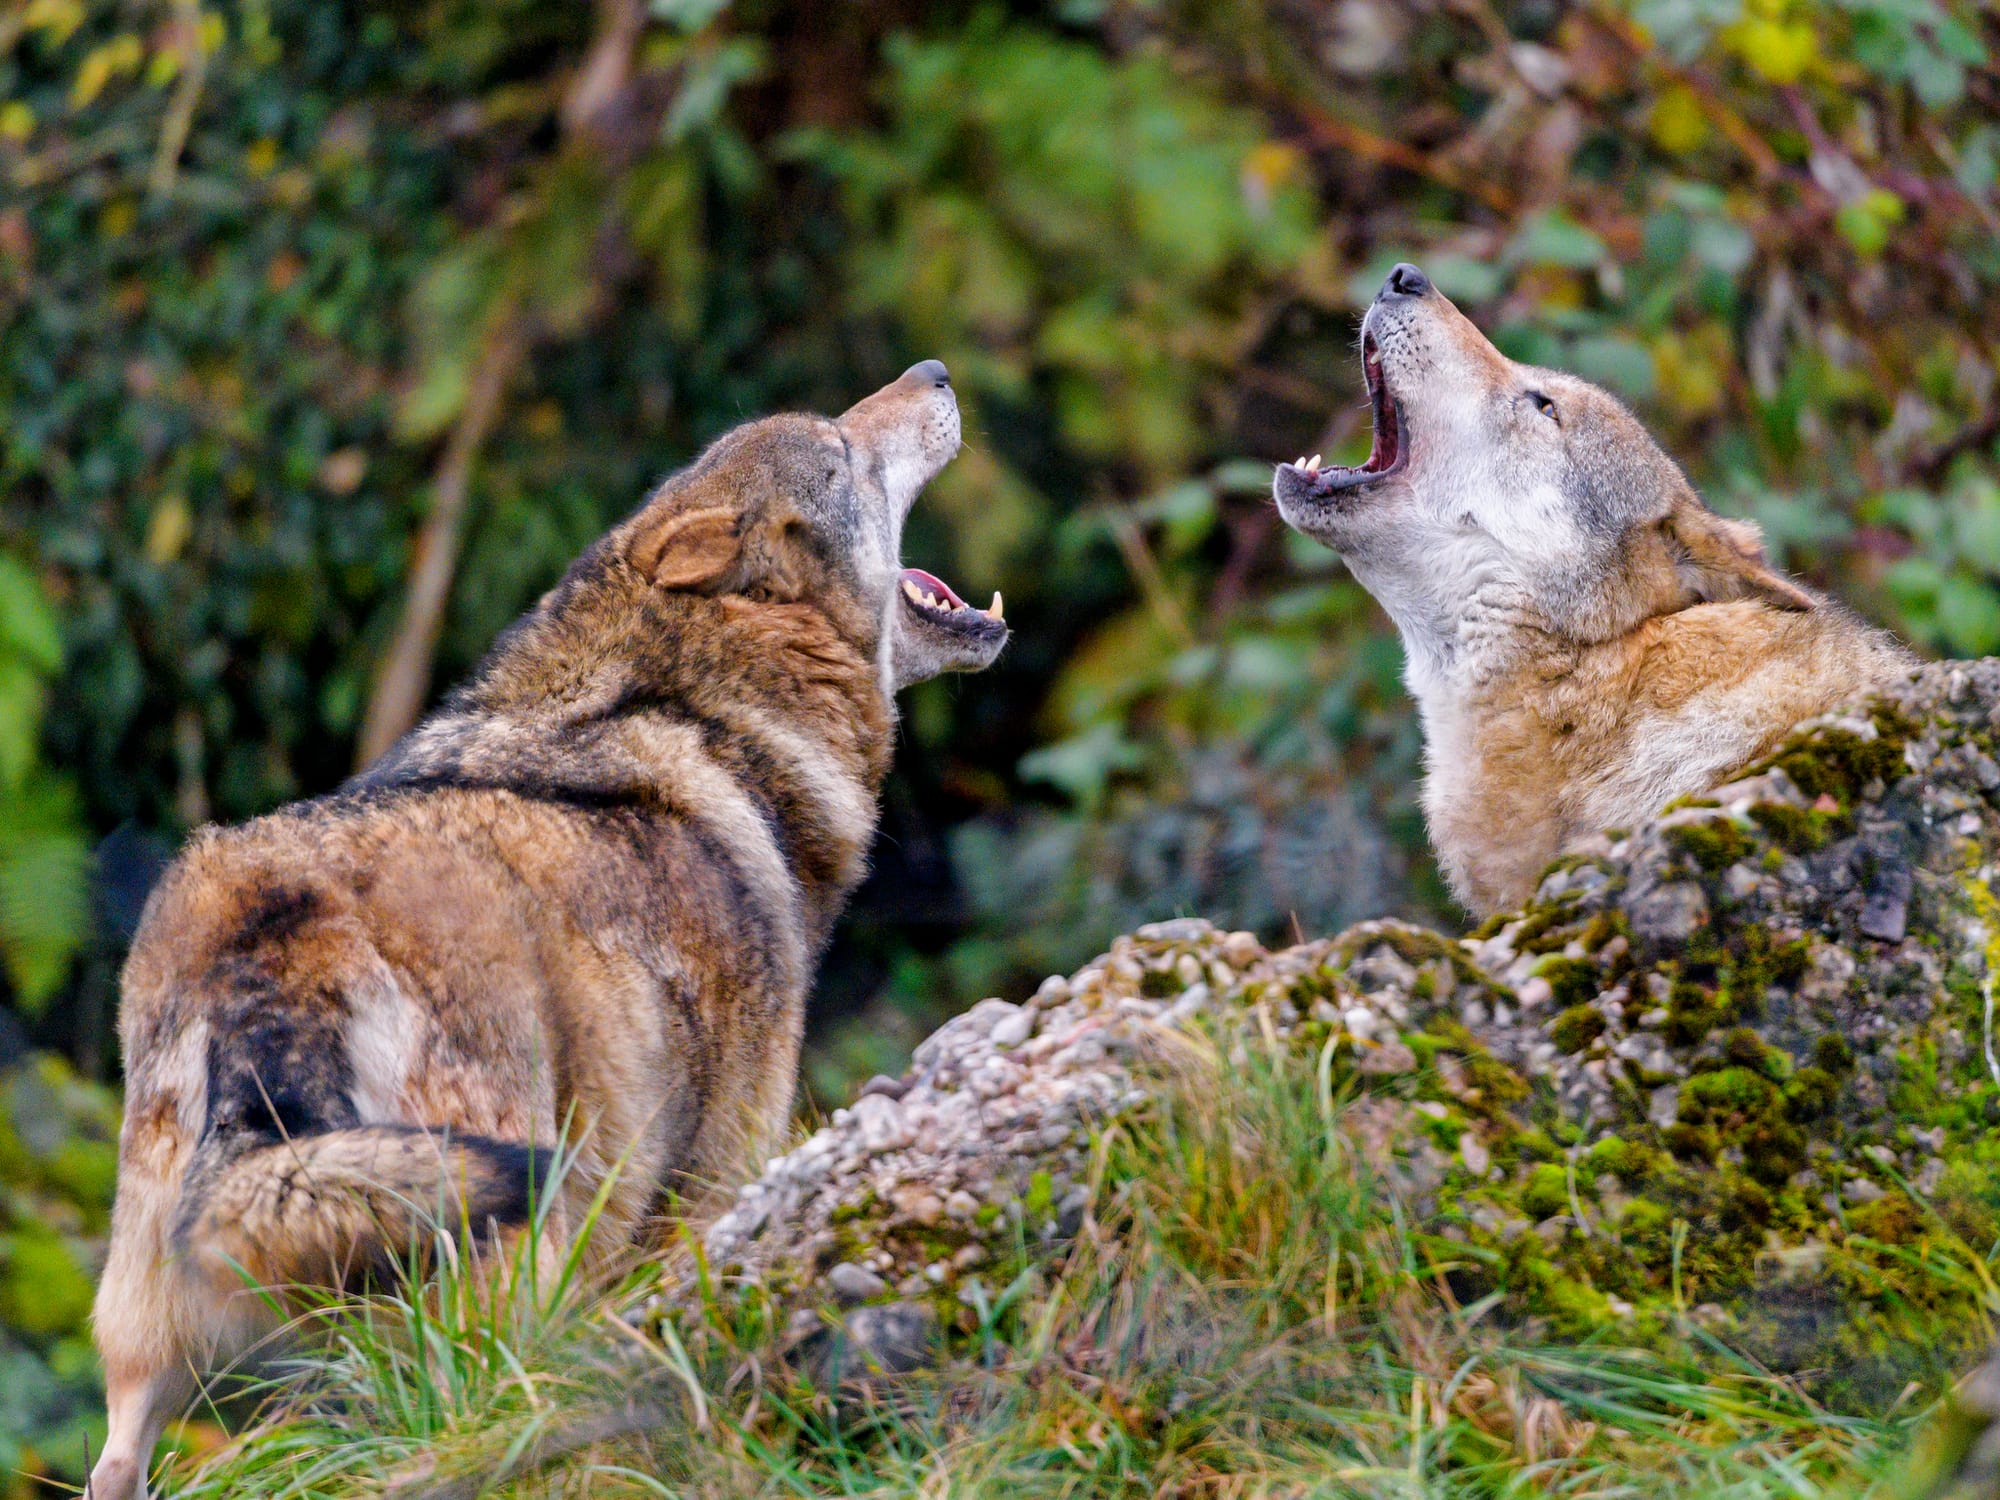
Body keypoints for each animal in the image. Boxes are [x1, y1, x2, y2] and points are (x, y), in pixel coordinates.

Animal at [86, 364, 1008, 1500]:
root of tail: (277, 919)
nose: (935, 373)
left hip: (154, 1327)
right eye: (838, 451)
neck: (704, 712)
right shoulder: (718, 1177)